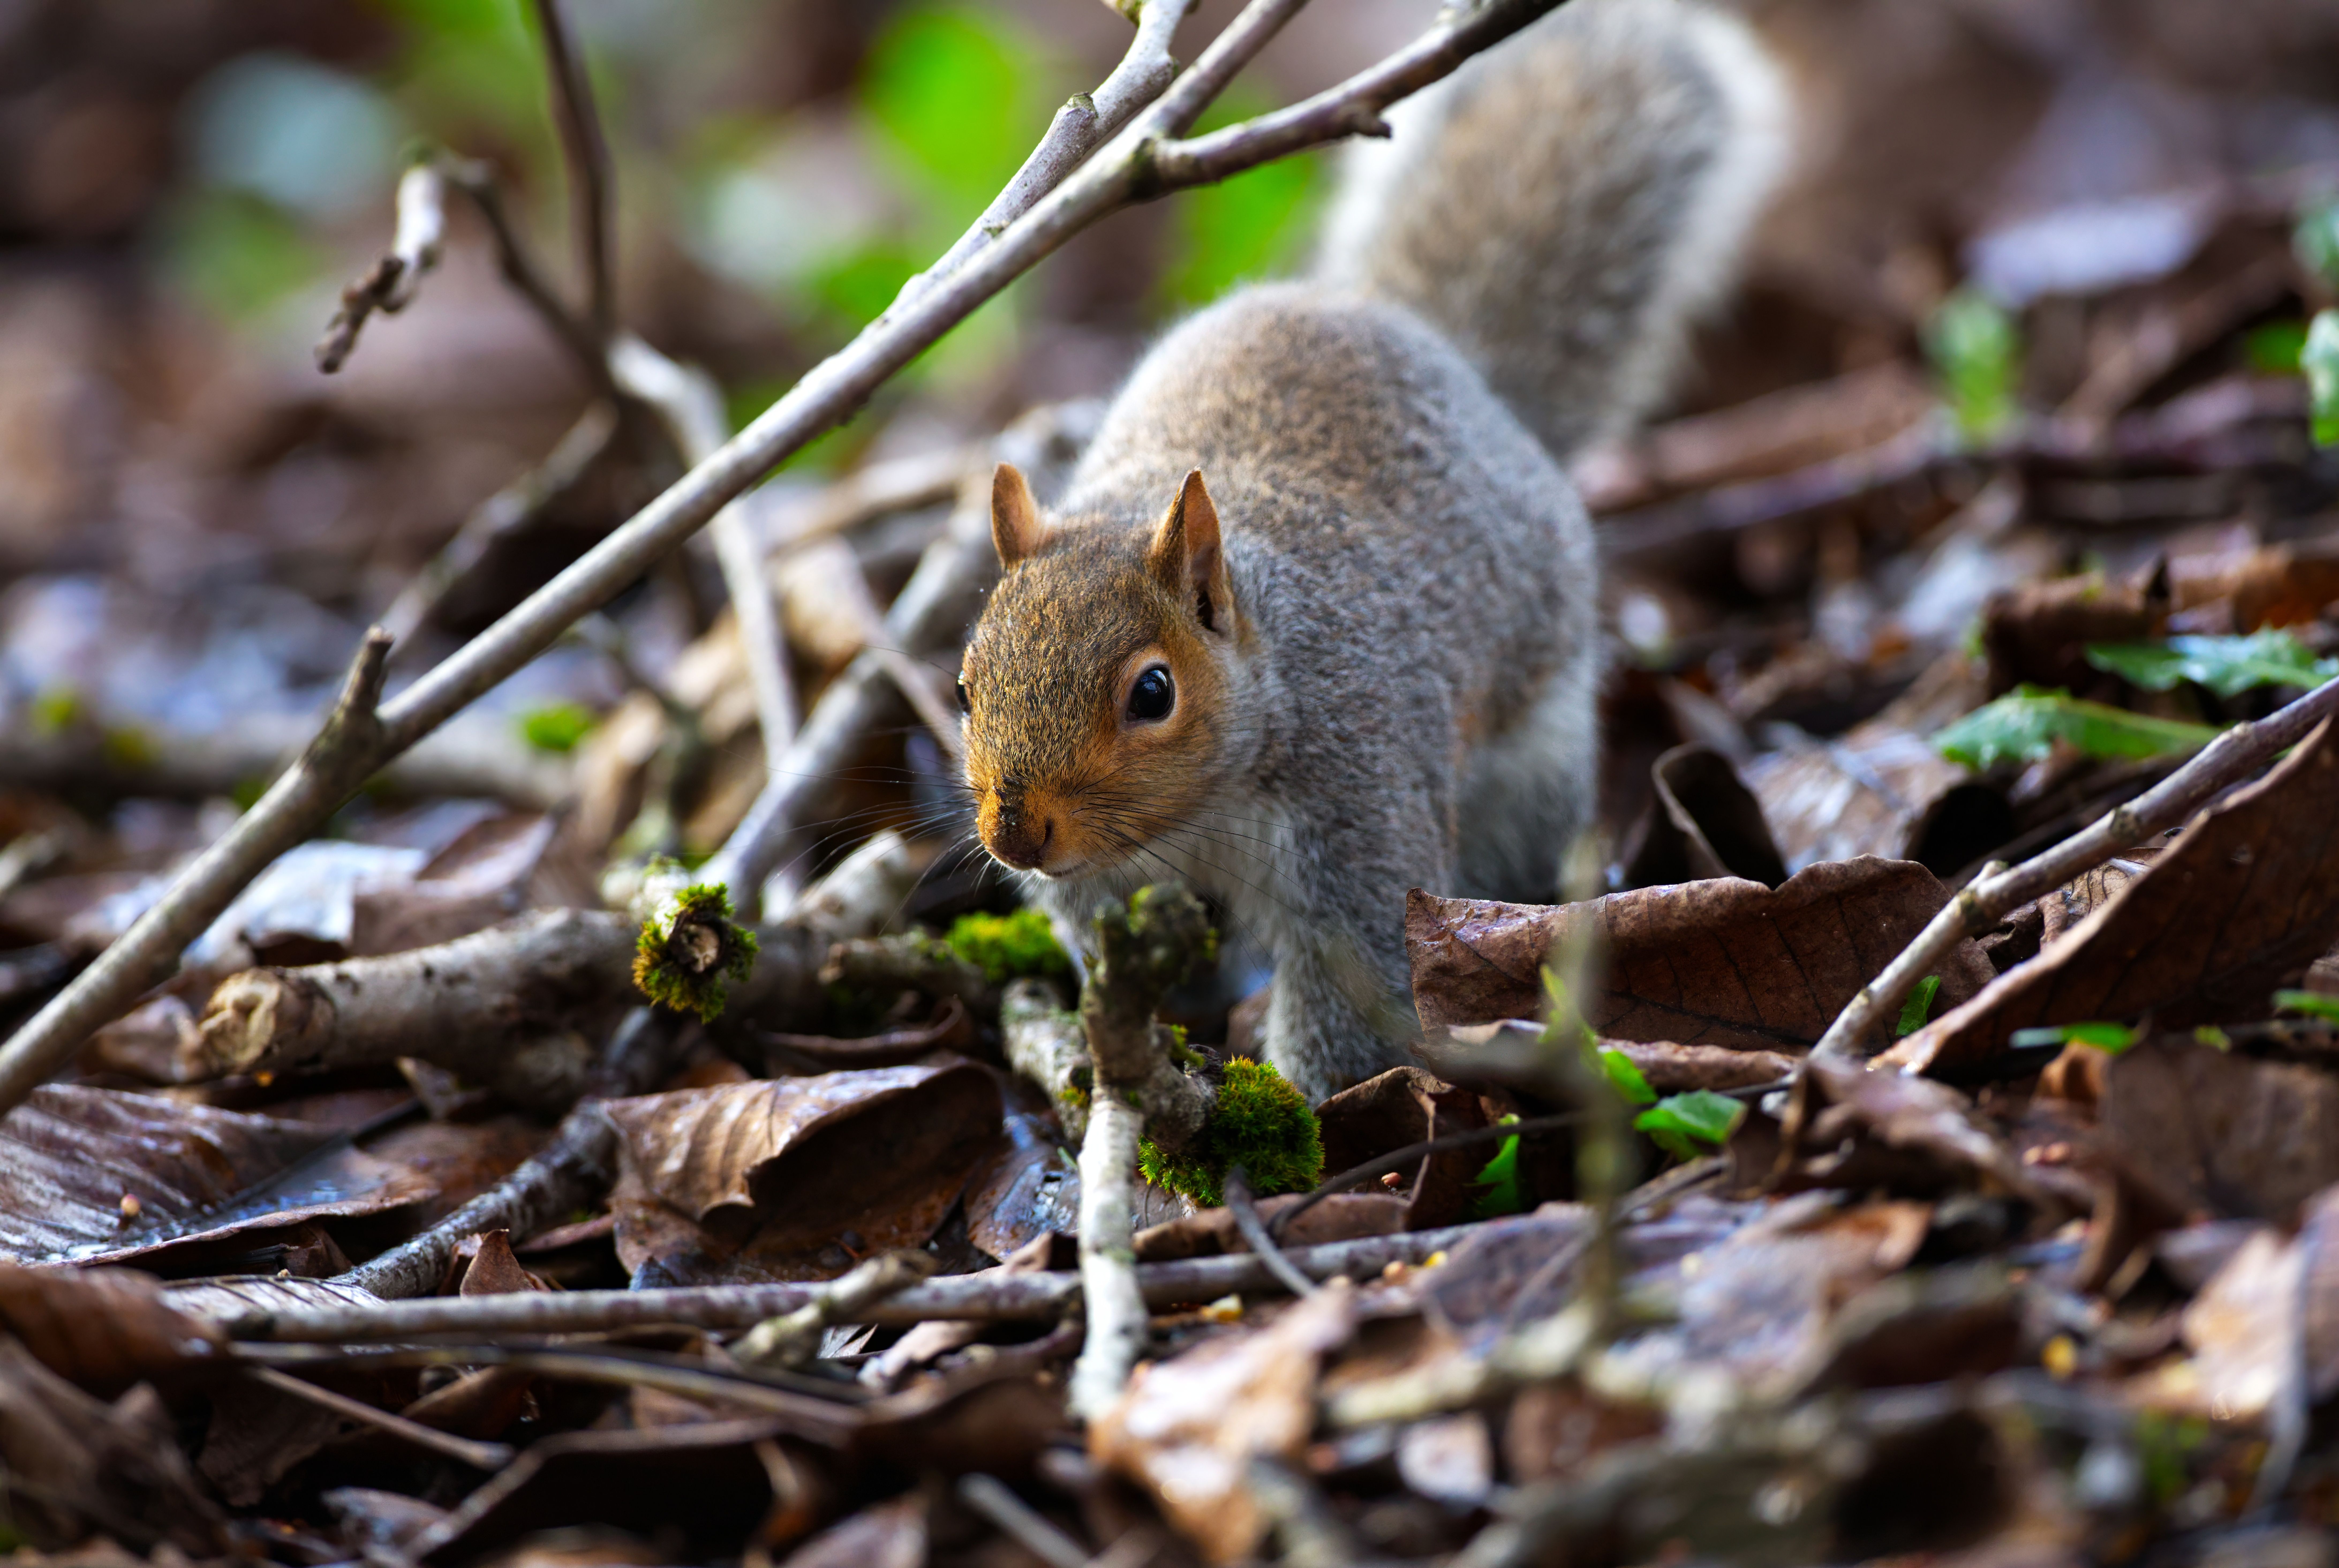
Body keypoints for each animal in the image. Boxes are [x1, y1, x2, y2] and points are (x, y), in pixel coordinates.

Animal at [955, 0, 1793, 1103]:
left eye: (1153, 693)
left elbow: (1351, 979)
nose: (1016, 833)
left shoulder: (1358, 801)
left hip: (1530, 768)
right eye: (965, 685)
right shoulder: (1110, 887)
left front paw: (1312, 1106)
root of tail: (1424, 340)